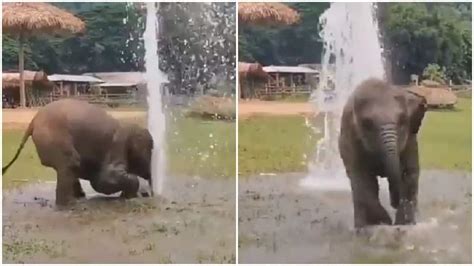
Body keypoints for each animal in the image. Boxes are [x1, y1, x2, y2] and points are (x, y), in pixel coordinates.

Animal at [4, 99, 156, 206]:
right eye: (150, 150)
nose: (151, 194)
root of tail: (33, 122)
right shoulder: (118, 147)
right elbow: (101, 181)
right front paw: (132, 196)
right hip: (55, 138)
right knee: (71, 162)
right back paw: (71, 204)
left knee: (70, 167)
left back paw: (79, 197)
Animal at [338, 78, 428, 228]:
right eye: (367, 124)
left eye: (403, 120)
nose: (394, 202)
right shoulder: (352, 141)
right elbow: (362, 178)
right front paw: (384, 221)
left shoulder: (410, 140)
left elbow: (410, 174)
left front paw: (405, 223)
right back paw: (362, 226)